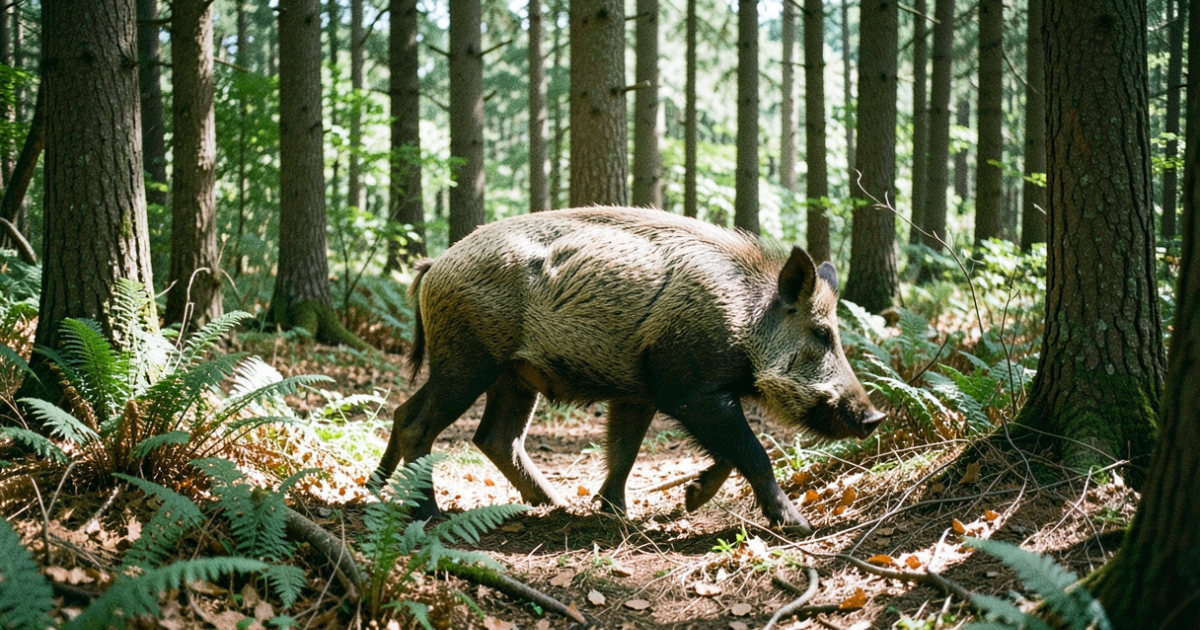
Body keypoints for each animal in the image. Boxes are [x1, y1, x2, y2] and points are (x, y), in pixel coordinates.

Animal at [373, 207, 884, 531]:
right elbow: (753, 450)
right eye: (822, 333)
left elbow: (626, 450)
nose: (875, 416)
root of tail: (435, 265)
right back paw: (428, 513)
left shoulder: (639, 392)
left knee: (488, 435)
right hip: (468, 359)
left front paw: (620, 510)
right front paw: (797, 525)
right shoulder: (689, 390)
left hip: (511, 375)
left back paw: (552, 505)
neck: (744, 320)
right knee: (420, 421)